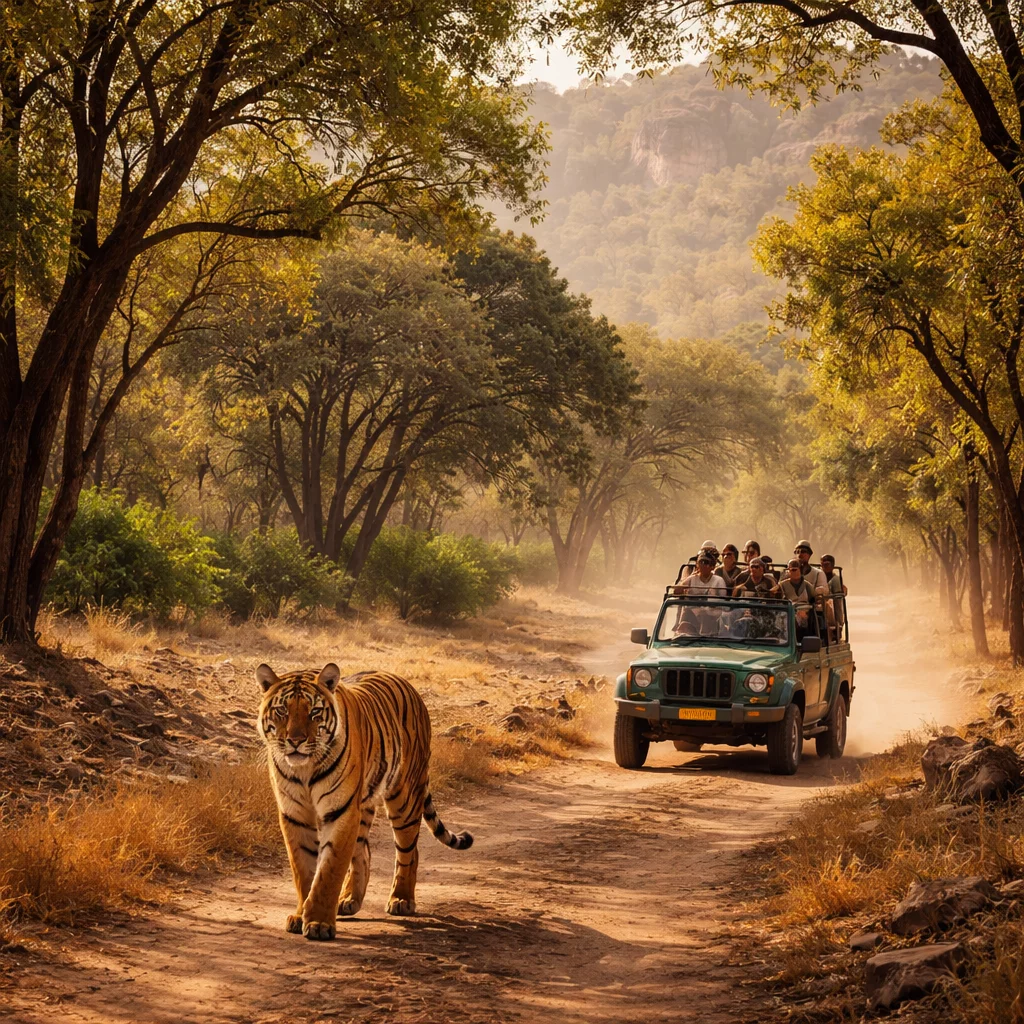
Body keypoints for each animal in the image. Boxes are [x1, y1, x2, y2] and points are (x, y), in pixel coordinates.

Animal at [256, 662, 473, 941]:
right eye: (282, 710)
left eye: (314, 712)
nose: (295, 741)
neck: (305, 769)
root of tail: (410, 686)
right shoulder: (294, 813)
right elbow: (303, 869)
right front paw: (300, 915)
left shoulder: (340, 811)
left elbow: (329, 869)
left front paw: (318, 923)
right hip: (365, 803)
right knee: (364, 851)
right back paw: (349, 899)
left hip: (404, 798)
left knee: (409, 851)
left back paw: (401, 899)